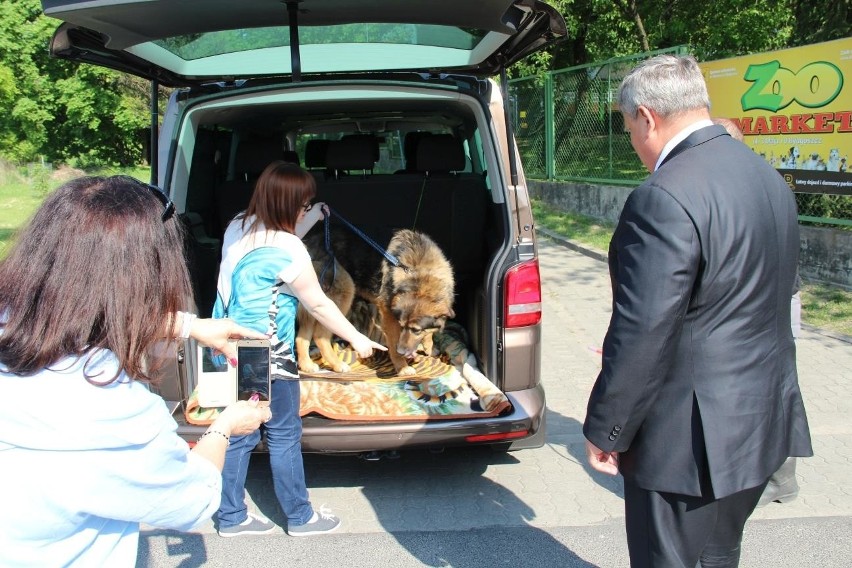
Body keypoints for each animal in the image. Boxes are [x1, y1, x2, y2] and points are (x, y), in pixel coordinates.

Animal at [302, 226, 456, 378]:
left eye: (416, 330)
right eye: (401, 326)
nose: (401, 351)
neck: (420, 275)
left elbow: (429, 333)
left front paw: (429, 347)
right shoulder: (389, 316)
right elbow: (394, 341)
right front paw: (401, 366)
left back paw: (306, 365)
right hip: (342, 292)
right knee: (319, 336)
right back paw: (337, 364)